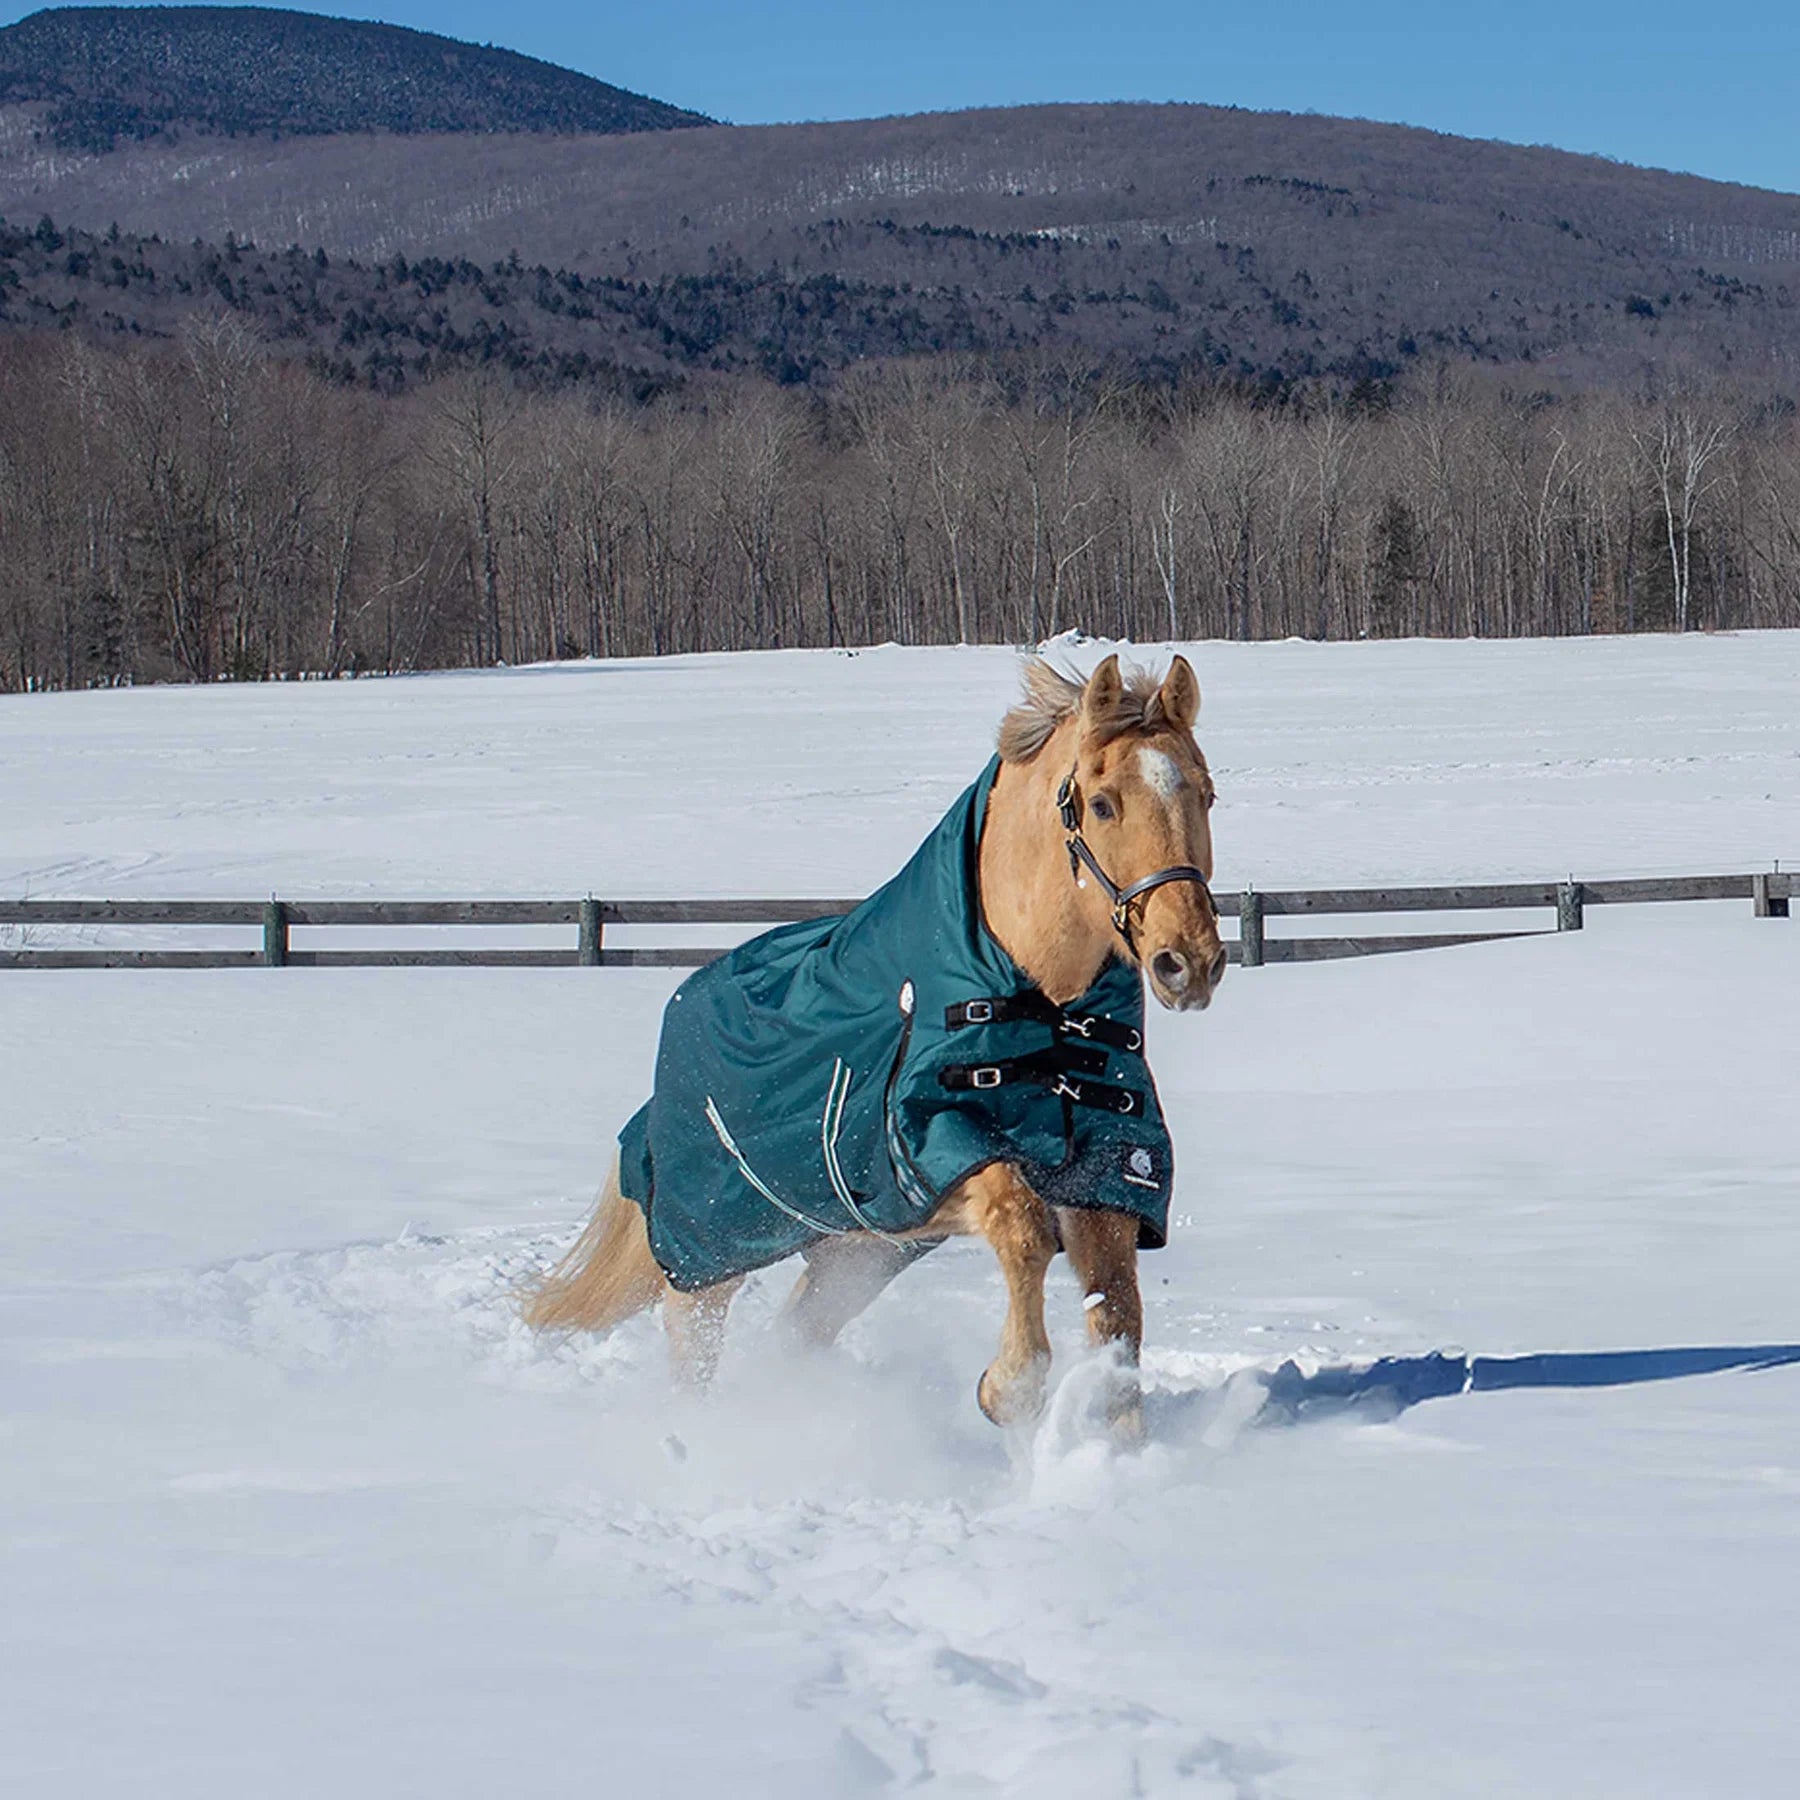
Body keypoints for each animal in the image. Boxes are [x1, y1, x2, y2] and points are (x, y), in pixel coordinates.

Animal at [522, 652, 1224, 1430]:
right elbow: (1023, 1230)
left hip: (857, 1253)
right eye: (1102, 804)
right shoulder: (932, 1151)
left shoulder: (1110, 1170)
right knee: (693, 1349)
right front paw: (1006, 1390)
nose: (1188, 962)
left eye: (1207, 794)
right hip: (709, 1260)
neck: (1039, 1001)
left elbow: (1119, 1312)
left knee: (796, 1332)